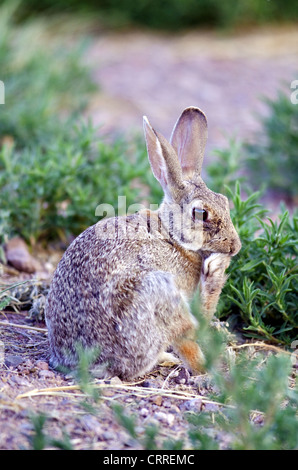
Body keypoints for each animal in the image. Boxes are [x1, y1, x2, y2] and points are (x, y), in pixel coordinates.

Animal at [46, 106, 242, 378]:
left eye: (224, 200)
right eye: (201, 213)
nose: (235, 246)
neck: (173, 237)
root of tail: (87, 362)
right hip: (153, 291)